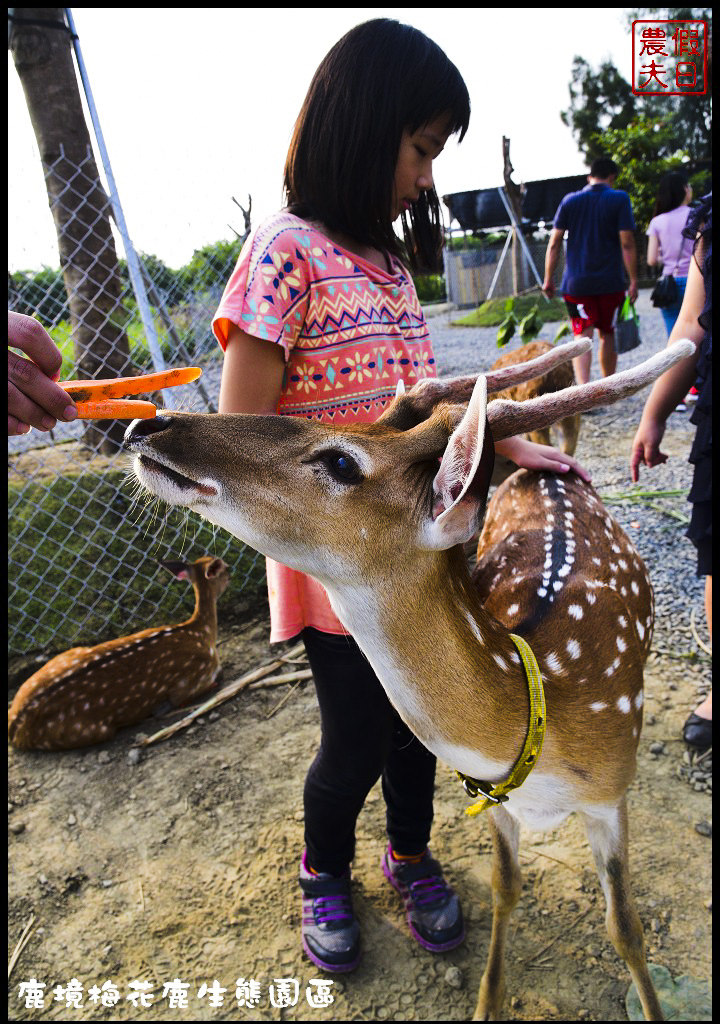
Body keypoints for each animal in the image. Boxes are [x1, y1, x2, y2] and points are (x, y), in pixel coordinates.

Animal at [7, 557, 228, 749]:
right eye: (223, 568)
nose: (231, 571)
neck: (201, 633)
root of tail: (13, 727)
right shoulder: (189, 682)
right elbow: (203, 685)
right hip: (93, 730)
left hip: (70, 652)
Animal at [123, 339, 692, 1019]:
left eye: (341, 460)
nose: (147, 423)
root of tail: (542, 472)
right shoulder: (494, 800)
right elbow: (504, 888)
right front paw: (485, 1003)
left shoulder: (613, 791)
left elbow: (625, 927)